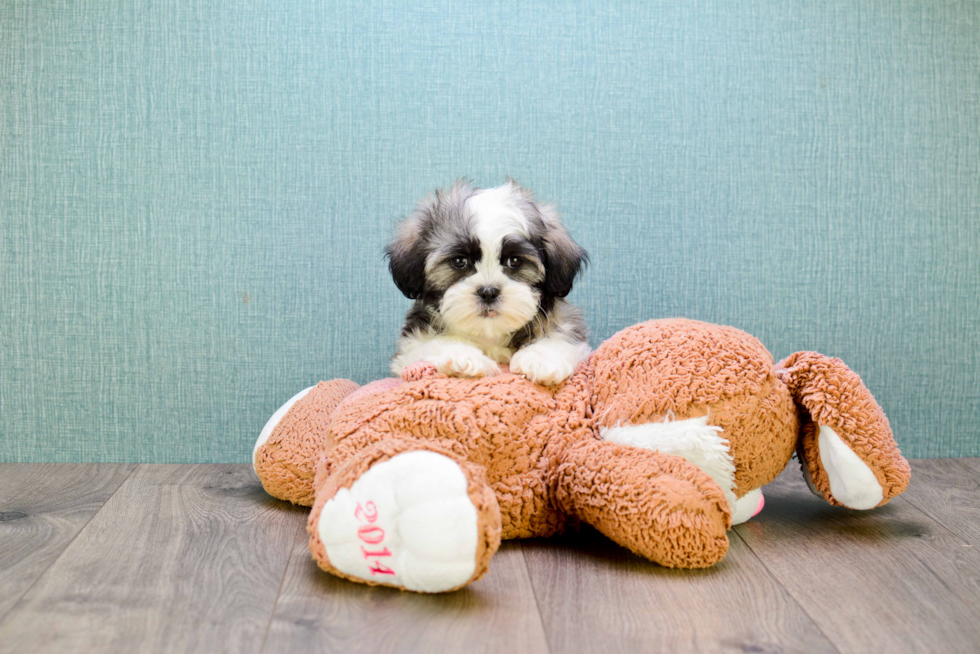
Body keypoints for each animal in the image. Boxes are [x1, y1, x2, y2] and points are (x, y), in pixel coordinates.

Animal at [386, 177, 588, 386]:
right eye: (459, 261)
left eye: (514, 261)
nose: (488, 292)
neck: (489, 333)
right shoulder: (412, 343)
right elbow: (430, 344)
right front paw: (463, 356)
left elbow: (561, 335)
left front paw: (542, 359)